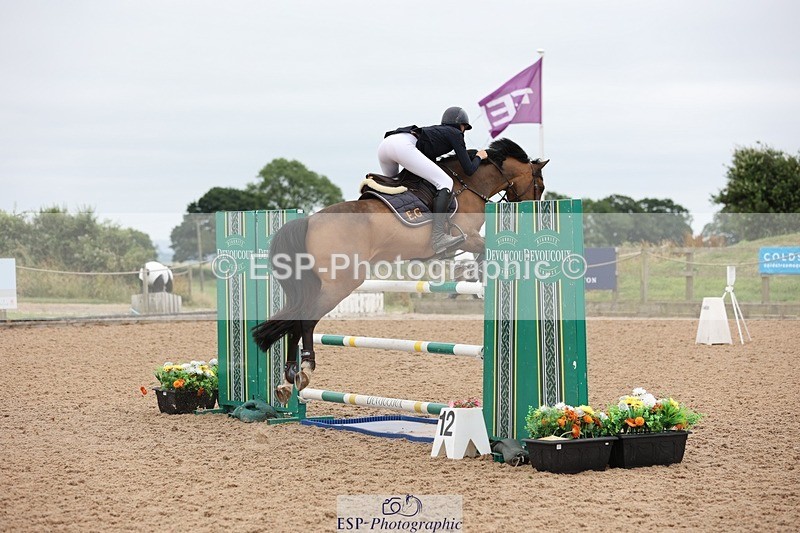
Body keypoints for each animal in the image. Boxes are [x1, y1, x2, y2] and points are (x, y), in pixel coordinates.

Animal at [252, 138, 547, 404]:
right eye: (541, 185)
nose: (532, 211)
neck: (468, 185)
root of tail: (308, 221)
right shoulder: (468, 237)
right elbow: (481, 250)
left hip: (314, 284)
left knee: (294, 320)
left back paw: (288, 380)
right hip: (340, 284)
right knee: (306, 320)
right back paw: (305, 370)